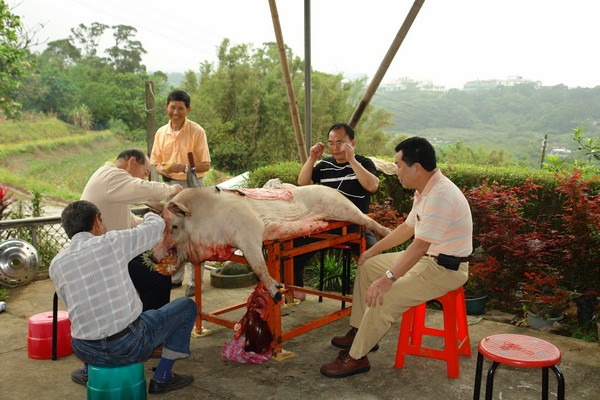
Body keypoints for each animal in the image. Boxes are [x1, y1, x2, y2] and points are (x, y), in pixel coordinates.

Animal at [150, 183, 391, 303]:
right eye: (163, 225)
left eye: (174, 226)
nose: (152, 256)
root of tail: (333, 189)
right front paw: (279, 292)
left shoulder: (250, 231)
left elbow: (258, 265)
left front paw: (276, 294)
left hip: (342, 206)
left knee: (367, 218)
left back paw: (387, 233)